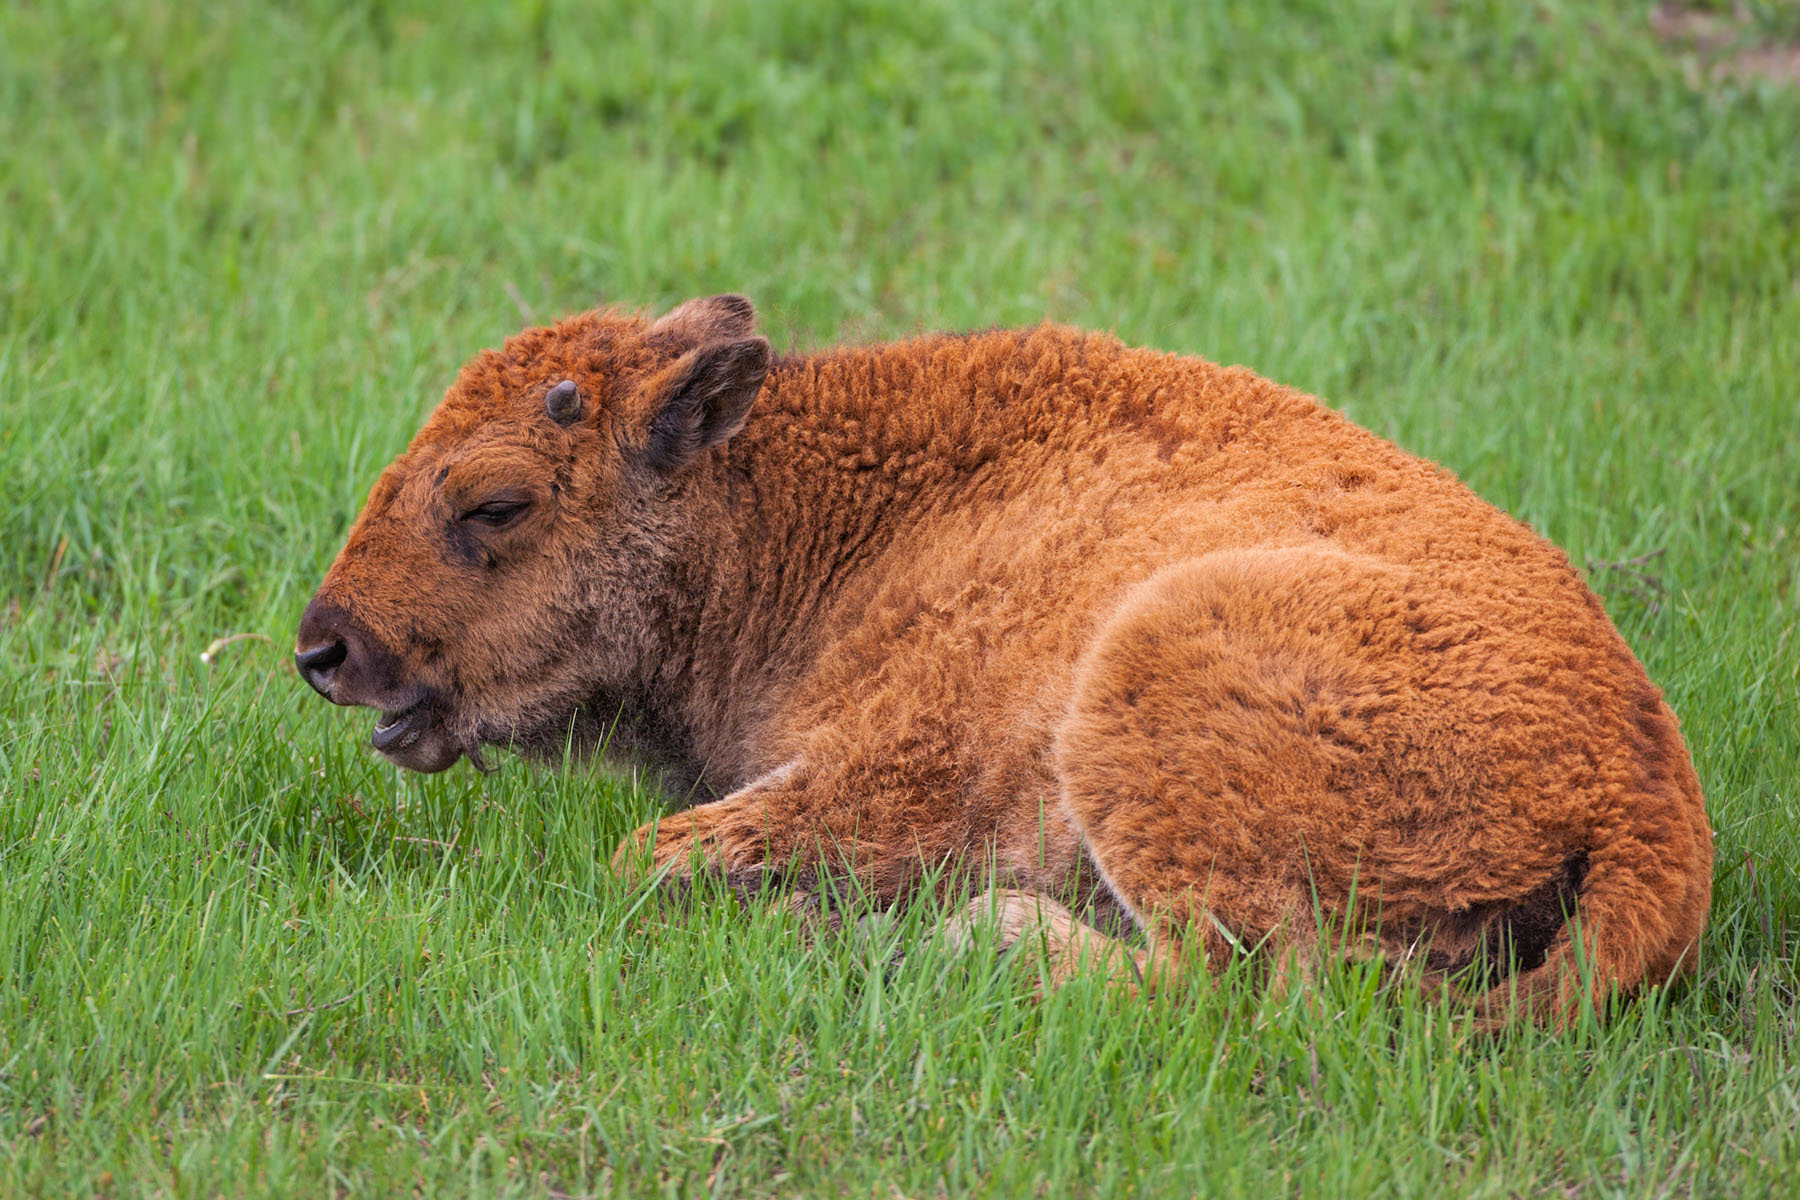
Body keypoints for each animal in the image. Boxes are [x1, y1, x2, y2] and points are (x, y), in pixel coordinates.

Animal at [298, 295, 1713, 1029]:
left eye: (496, 503)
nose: (325, 648)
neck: (821, 514)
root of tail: (1644, 790)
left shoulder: (890, 776)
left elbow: (654, 855)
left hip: (1145, 678)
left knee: (1245, 982)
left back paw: (972, 937)